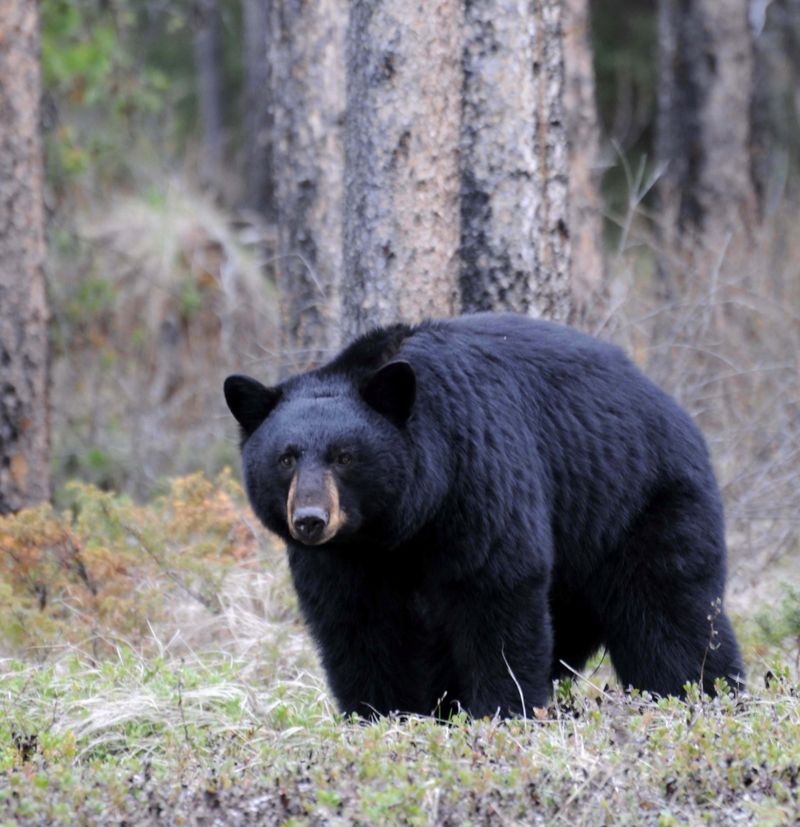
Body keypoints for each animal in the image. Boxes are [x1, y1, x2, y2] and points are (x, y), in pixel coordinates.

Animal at [223, 314, 744, 716]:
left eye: (345, 456)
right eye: (286, 458)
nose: (311, 520)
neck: (399, 526)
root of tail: (672, 408)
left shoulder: (478, 476)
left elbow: (497, 592)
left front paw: (503, 710)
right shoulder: (344, 557)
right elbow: (357, 623)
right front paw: (380, 714)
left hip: (636, 505)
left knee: (670, 616)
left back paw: (705, 697)